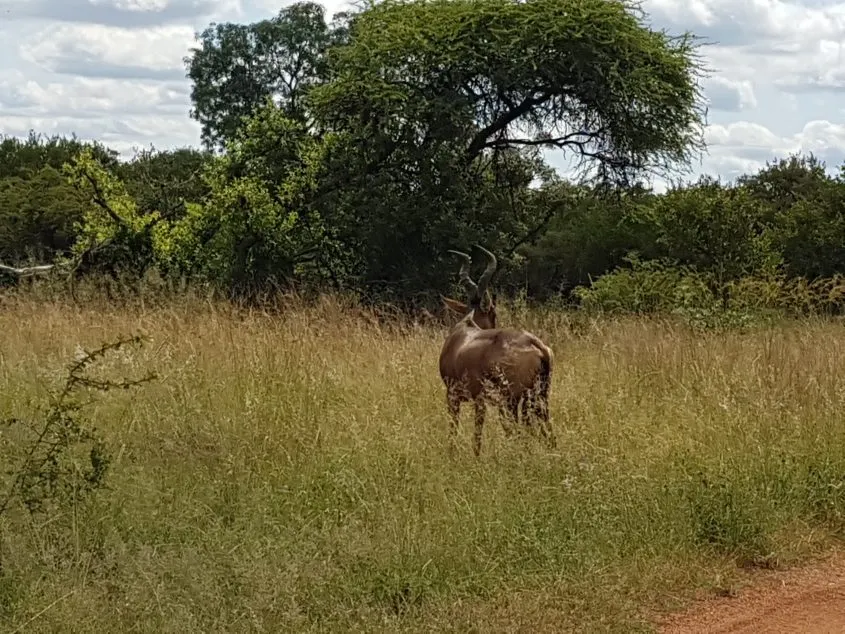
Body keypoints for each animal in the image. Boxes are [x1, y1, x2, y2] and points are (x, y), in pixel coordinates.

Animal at [439, 245, 556, 456]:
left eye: (494, 312)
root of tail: (537, 345)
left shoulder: (456, 396)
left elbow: (461, 430)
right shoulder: (479, 400)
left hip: (511, 400)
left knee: (518, 429)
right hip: (540, 396)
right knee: (545, 427)